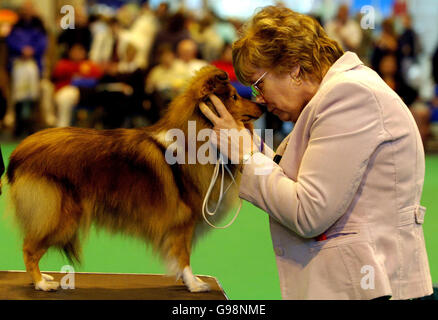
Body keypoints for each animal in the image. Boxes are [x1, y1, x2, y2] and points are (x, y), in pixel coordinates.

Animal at [4, 65, 264, 292]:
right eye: (234, 96)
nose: (262, 107)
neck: (196, 136)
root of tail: (19, 152)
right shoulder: (183, 220)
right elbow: (183, 254)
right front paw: (193, 284)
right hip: (59, 214)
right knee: (28, 248)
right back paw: (41, 283)